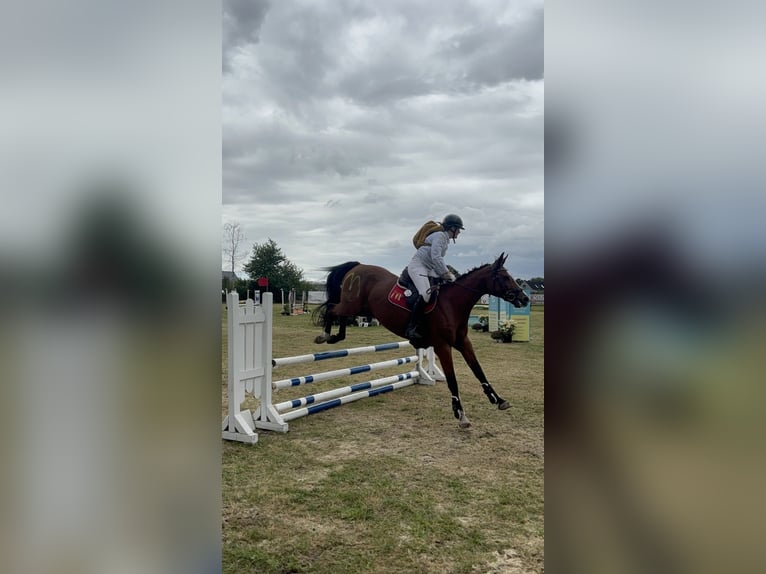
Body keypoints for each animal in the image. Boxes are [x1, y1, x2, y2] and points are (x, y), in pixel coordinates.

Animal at [314, 253, 530, 428]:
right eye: (505, 277)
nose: (525, 298)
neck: (452, 305)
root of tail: (358, 266)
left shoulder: (463, 343)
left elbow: (478, 371)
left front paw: (498, 399)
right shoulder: (443, 346)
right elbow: (452, 380)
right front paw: (460, 414)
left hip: (359, 308)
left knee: (338, 314)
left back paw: (335, 337)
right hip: (352, 305)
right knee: (331, 309)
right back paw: (325, 335)